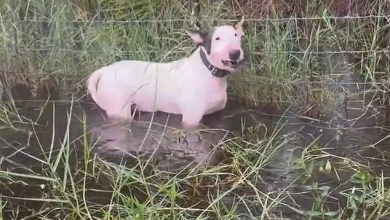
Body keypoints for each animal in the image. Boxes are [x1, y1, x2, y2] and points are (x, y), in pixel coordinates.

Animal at [87, 17, 245, 131]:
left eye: (236, 35)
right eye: (217, 38)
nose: (235, 53)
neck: (208, 71)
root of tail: (104, 70)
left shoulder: (216, 114)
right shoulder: (191, 120)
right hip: (119, 110)